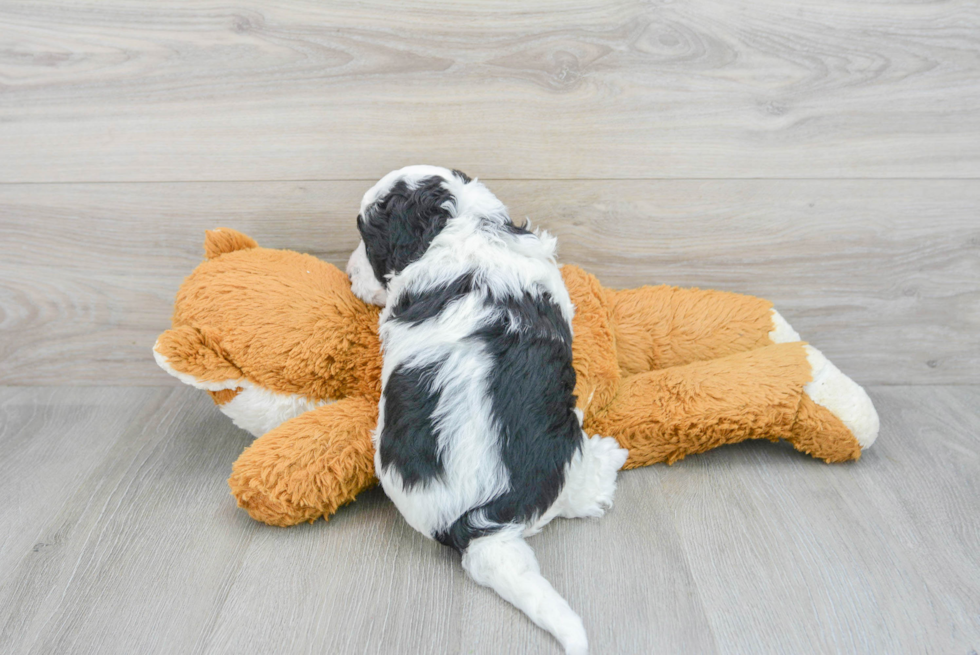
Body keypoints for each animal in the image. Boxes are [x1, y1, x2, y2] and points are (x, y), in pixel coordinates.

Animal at [348, 165, 632, 655]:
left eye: (367, 239)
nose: (348, 274)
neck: (464, 224)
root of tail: (476, 525)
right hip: (564, 446)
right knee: (574, 492)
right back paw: (606, 462)